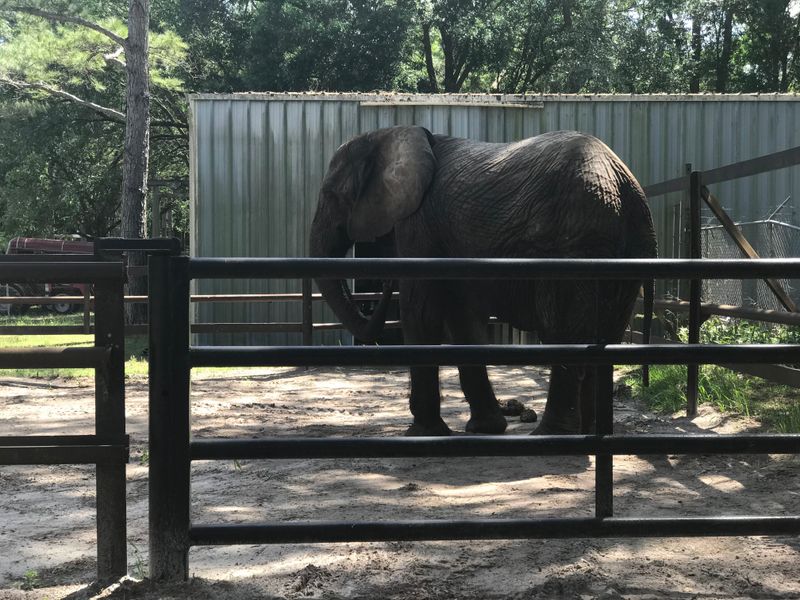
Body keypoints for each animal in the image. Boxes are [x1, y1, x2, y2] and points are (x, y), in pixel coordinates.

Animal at [309, 126, 657, 436]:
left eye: (332, 194)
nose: (381, 284)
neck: (390, 134)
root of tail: (628, 188)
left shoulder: (419, 224)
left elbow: (421, 312)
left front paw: (422, 432)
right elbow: (461, 319)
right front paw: (485, 428)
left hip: (574, 245)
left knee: (564, 334)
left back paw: (552, 434)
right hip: (624, 255)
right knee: (606, 335)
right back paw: (591, 432)